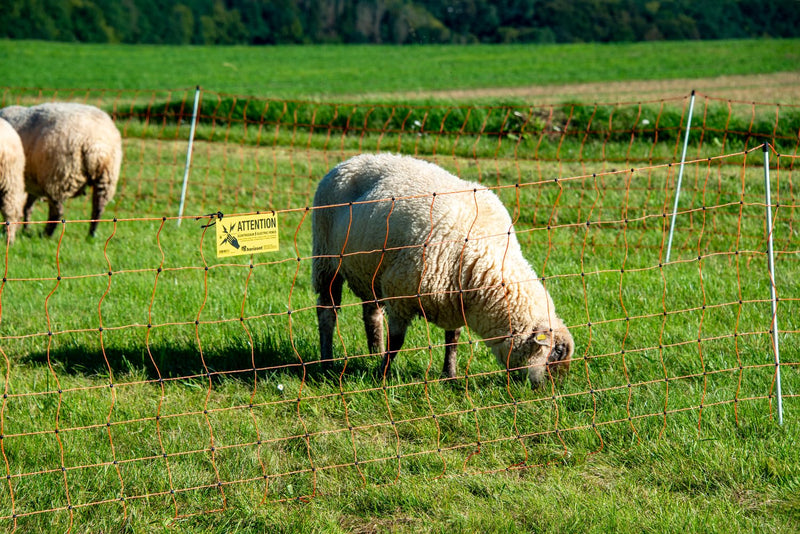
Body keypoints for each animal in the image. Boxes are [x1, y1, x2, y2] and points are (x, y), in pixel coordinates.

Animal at [0, 103, 122, 238]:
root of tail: (96, 145)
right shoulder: (31, 183)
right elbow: (27, 206)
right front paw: (25, 228)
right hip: (107, 177)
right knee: (98, 208)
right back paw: (91, 234)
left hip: (58, 176)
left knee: (57, 211)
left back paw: (46, 234)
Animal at [312, 153, 576, 388]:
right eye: (556, 352)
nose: (553, 389)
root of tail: (352, 159)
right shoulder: (400, 293)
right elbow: (396, 341)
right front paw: (382, 375)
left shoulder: (452, 301)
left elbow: (453, 341)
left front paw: (449, 375)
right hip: (325, 258)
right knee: (327, 313)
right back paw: (327, 361)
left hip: (370, 270)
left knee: (372, 313)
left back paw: (373, 352)